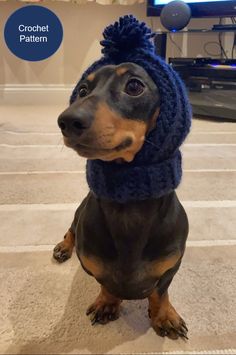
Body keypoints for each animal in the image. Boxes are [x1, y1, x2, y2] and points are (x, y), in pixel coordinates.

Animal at [52, 62, 189, 340]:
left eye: (134, 86)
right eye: (83, 90)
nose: (67, 120)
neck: (129, 209)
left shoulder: (171, 267)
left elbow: (160, 292)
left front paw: (164, 316)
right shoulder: (93, 266)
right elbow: (106, 284)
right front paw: (107, 303)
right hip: (77, 213)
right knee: (70, 230)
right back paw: (63, 247)